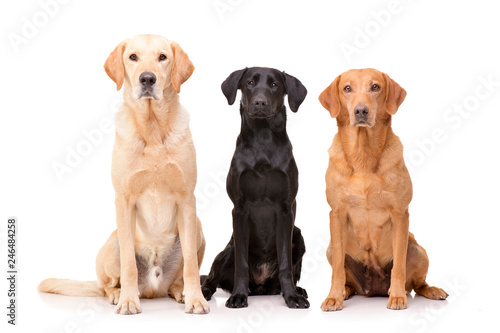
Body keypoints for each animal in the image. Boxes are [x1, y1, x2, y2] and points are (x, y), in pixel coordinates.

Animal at [39, 33, 209, 314]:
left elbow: (192, 268)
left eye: (162, 57)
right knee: (107, 284)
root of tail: (152, 288)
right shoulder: (124, 200)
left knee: (179, 276)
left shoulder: (187, 200)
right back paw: (119, 294)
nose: (147, 79)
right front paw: (129, 301)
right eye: (133, 57)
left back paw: (180, 292)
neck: (152, 129)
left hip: (197, 227)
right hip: (112, 243)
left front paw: (196, 299)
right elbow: (129, 264)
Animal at [201, 67, 310, 308]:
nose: (260, 102)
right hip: (228, 249)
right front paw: (238, 296)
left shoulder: (285, 209)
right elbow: (241, 265)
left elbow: (286, 264)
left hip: (298, 235)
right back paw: (203, 292)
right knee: (211, 278)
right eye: (250, 83)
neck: (263, 138)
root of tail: (260, 285)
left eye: (275, 85)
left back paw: (296, 290)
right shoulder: (239, 210)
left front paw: (292, 297)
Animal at [318, 68, 448, 310]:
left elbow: (399, 267)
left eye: (375, 87)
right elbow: (337, 269)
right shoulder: (336, 214)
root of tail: (374, 288)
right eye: (347, 88)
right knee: (345, 277)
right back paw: (344, 291)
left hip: (417, 249)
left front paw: (397, 297)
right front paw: (333, 297)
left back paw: (429, 290)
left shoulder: (400, 214)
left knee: (417, 284)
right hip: (331, 248)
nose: (361, 110)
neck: (364, 156)